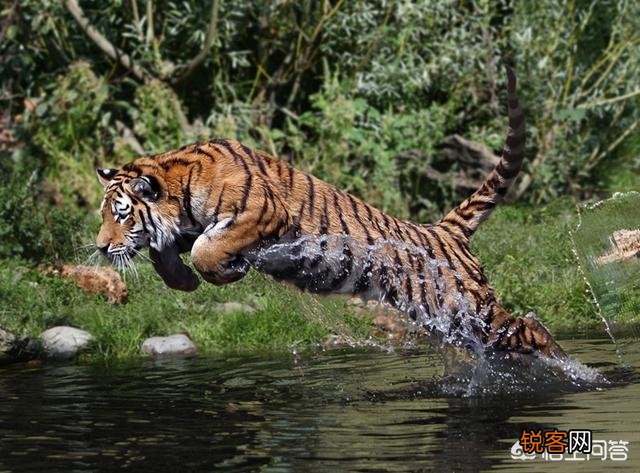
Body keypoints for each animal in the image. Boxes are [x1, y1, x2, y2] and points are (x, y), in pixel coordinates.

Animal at [95, 67, 565, 359]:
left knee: (529, 327)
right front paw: (185, 281)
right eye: (104, 215)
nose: (100, 248)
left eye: (121, 215)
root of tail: (443, 230)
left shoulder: (263, 213)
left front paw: (222, 271)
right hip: (450, 320)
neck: (178, 186)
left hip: (466, 307)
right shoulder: (183, 229)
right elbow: (164, 252)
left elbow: (206, 249)